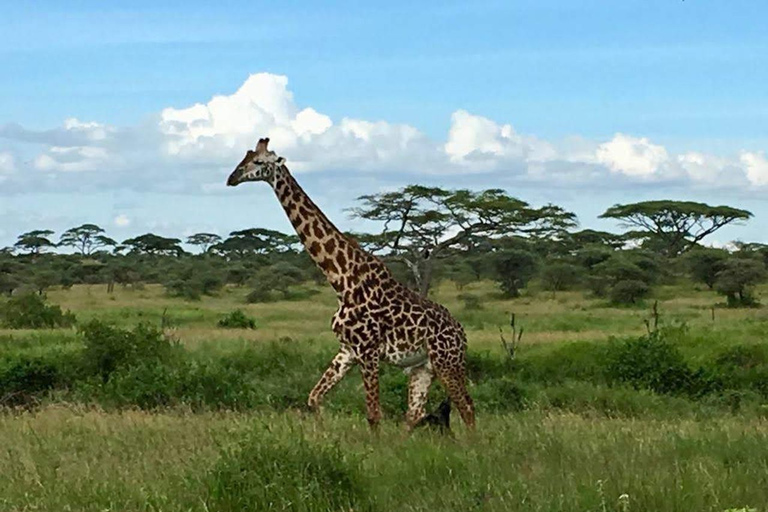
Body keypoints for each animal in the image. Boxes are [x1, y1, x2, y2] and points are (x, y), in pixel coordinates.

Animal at [226, 138, 474, 430]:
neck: (341, 280)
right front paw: (322, 433)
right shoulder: (348, 351)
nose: (232, 178)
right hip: (422, 367)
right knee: (413, 415)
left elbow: (373, 415)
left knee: (467, 408)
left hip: (447, 362)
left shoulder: (368, 351)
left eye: (259, 162)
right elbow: (313, 398)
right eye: (245, 157)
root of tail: (462, 335)